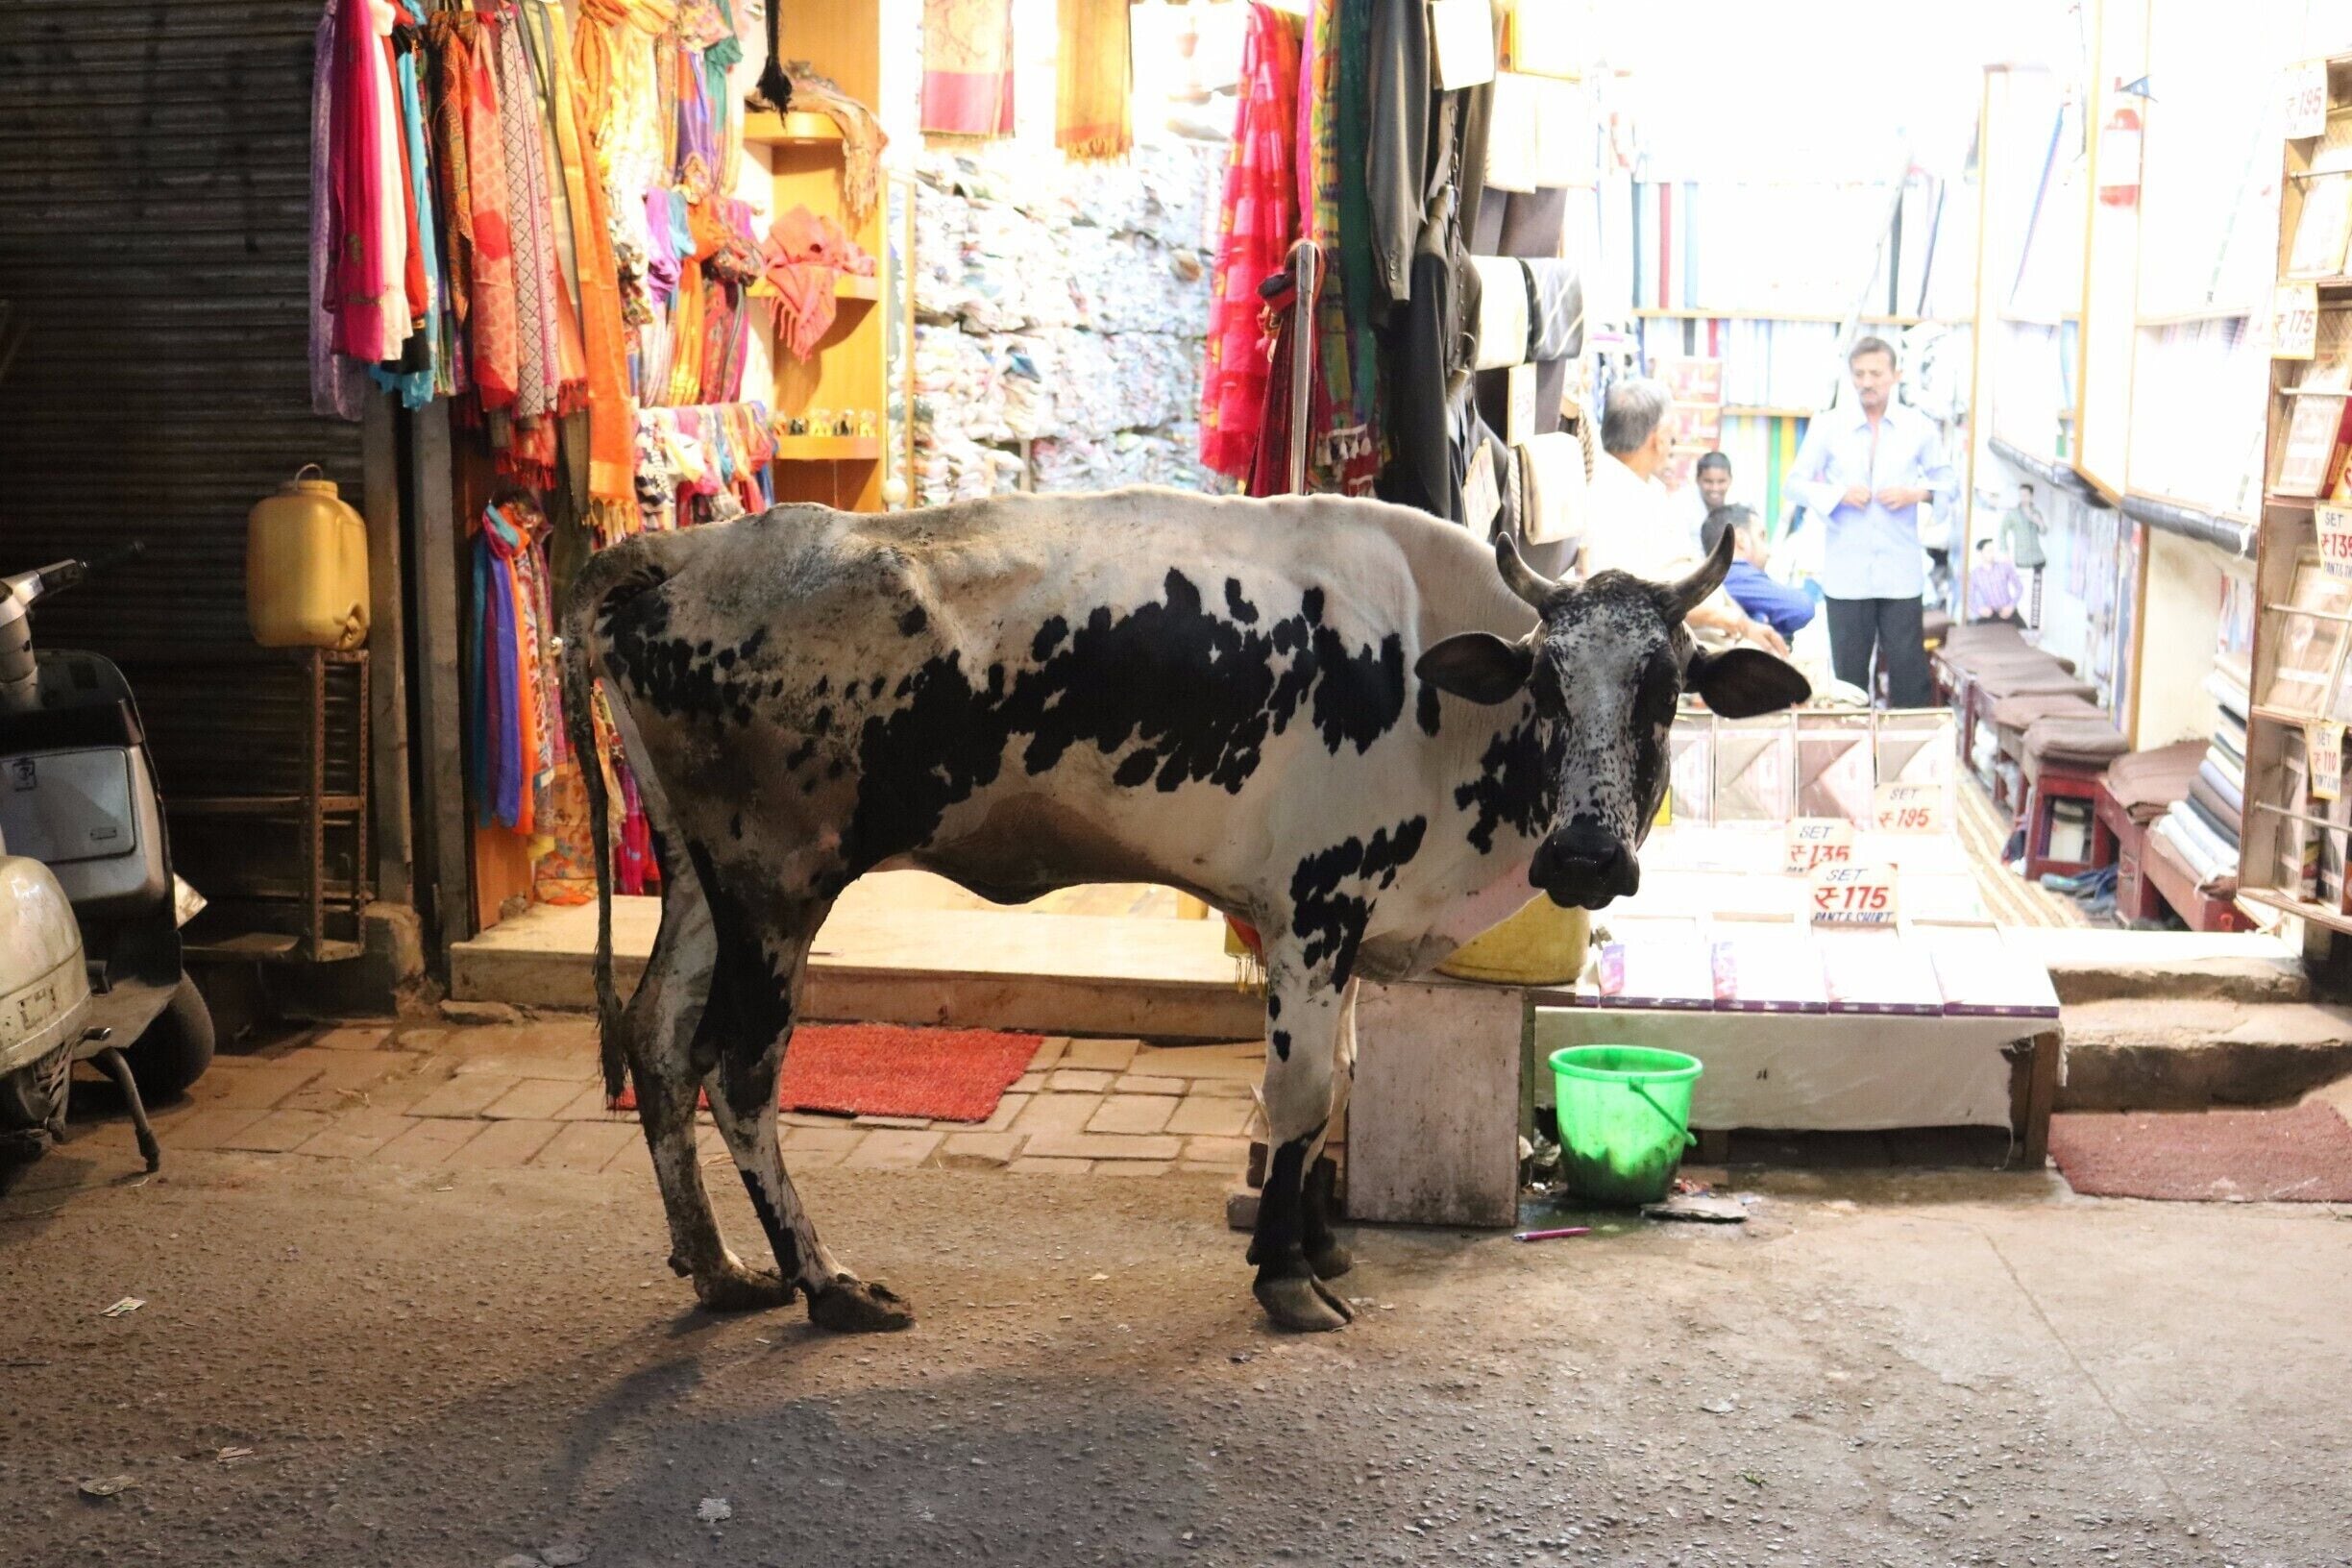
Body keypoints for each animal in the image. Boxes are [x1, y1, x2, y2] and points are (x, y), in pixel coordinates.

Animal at [559, 488, 1808, 1334]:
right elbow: (1300, 1095)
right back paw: (823, 1283)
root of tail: (683, 549)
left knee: (658, 1041)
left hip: (699, 879)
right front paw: (1287, 1277)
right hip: (778, 886)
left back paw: (718, 1268)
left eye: (1667, 690)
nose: (1590, 854)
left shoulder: (1340, 928)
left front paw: (1317, 1247)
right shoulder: (1315, 906)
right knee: (741, 1071)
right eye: (1546, 682)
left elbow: (1330, 1088)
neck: (1427, 677)